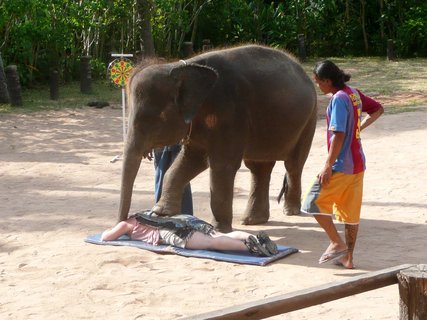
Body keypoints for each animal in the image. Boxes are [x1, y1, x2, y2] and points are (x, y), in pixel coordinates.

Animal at [118, 43, 318, 231]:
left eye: (146, 119)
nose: (125, 223)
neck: (179, 66)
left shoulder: (230, 114)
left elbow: (222, 165)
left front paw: (219, 229)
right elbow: (190, 161)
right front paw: (160, 213)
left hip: (309, 119)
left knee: (293, 164)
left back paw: (289, 211)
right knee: (258, 167)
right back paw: (252, 220)